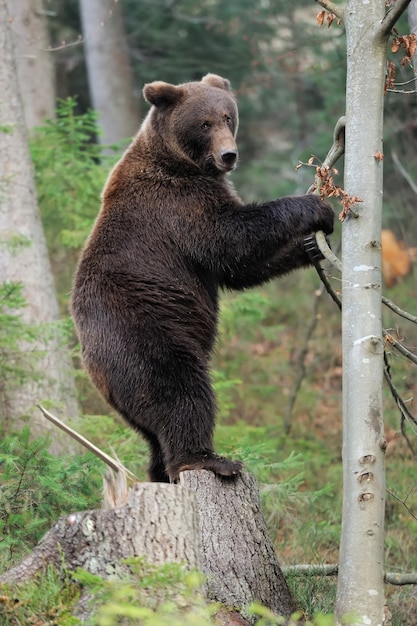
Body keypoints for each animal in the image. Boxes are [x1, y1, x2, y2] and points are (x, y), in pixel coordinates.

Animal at [70, 74, 332, 482]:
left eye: (228, 116)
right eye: (204, 123)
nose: (229, 155)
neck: (185, 163)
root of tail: (94, 373)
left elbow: (238, 270)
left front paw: (310, 247)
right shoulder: (178, 205)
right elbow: (232, 238)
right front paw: (314, 207)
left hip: (129, 393)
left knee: (153, 433)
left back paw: (162, 472)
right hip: (145, 336)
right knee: (182, 391)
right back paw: (209, 459)